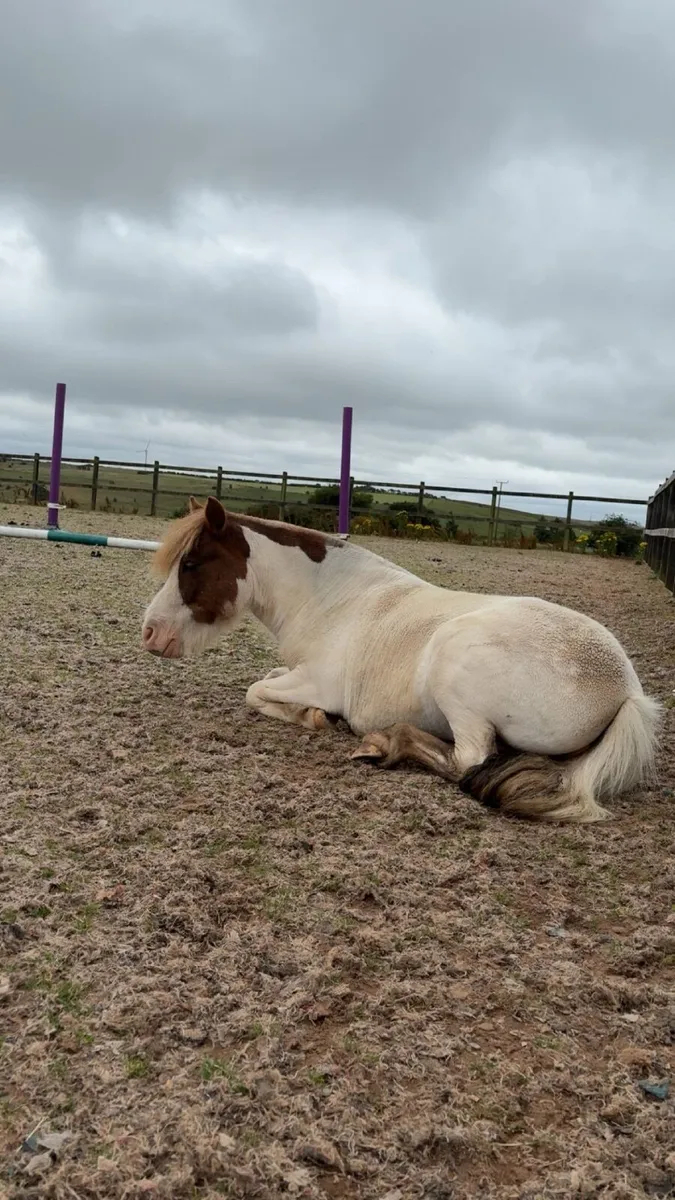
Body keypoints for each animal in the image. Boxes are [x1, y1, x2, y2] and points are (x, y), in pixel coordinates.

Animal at [141, 496, 661, 823]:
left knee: (468, 759)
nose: (150, 632)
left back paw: (384, 743)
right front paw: (306, 715)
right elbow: (265, 682)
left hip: (456, 671)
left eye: (191, 564)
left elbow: (256, 690)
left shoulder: (319, 682)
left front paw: (314, 716)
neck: (334, 599)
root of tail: (626, 690)